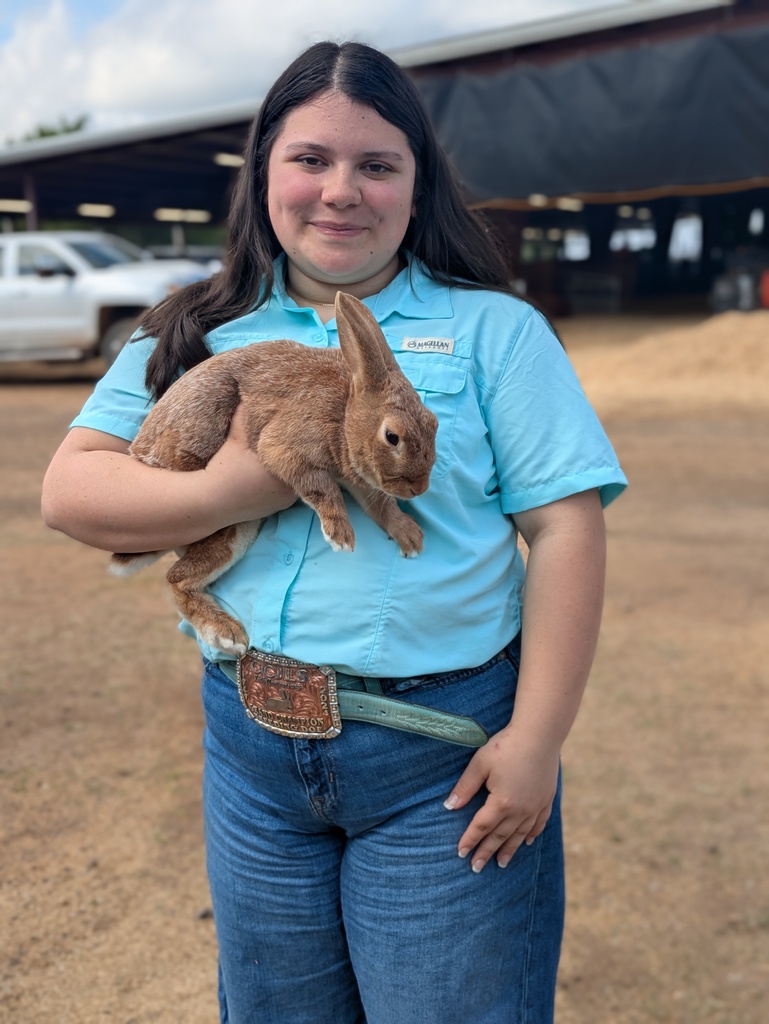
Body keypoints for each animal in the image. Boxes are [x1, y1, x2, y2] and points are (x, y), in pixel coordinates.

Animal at [109, 291, 438, 656]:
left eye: (434, 422)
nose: (419, 488)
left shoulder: (361, 480)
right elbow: (321, 487)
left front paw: (410, 537)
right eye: (392, 436)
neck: (345, 413)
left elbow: (380, 506)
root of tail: (143, 455)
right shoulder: (285, 447)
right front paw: (341, 536)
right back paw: (226, 633)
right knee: (175, 579)